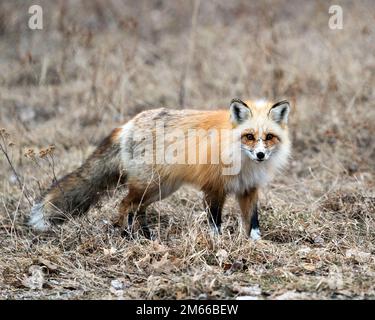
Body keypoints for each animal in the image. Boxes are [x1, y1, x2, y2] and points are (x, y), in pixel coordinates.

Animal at [30, 99, 294, 239]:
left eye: (269, 137)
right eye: (249, 136)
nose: (260, 155)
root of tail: (128, 124)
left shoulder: (249, 189)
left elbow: (253, 222)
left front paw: (256, 244)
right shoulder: (214, 188)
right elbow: (215, 222)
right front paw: (218, 244)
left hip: (160, 188)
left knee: (138, 209)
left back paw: (147, 236)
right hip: (149, 185)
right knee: (124, 205)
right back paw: (127, 236)